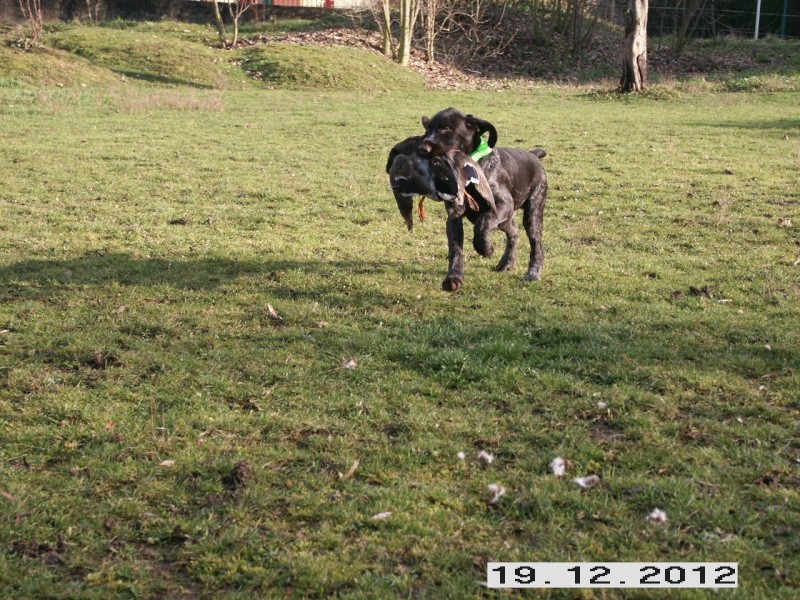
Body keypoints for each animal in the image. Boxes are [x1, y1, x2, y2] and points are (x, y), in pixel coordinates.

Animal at [416, 109, 548, 292]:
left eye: (446, 129)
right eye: (427, 130)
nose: (422, 148)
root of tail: (533, 156)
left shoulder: (501, 205)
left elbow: (482, 223)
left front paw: (486, 248)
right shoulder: (454, 216)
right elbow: (455, 250)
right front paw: (454, 278)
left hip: (532, 214)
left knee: (537, 245)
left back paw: (533, 273)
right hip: (506, 220)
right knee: (514, 232)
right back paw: (507, 263)